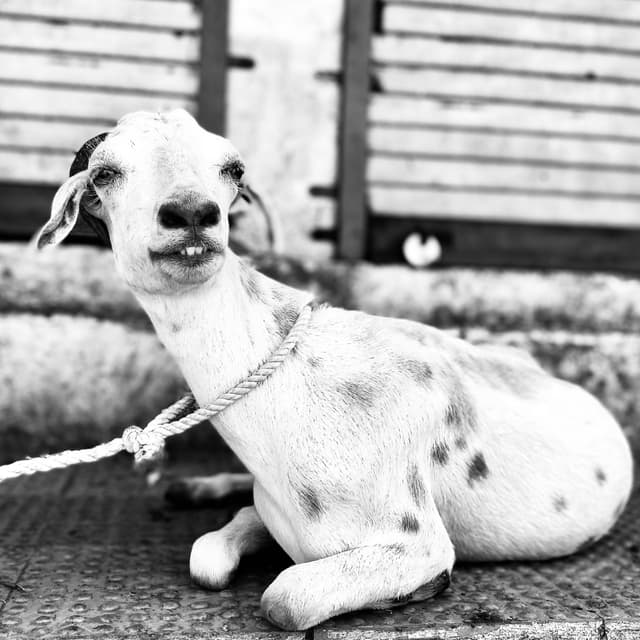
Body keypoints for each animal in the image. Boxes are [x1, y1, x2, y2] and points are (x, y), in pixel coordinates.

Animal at [36, 109, 634, 631]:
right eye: (106, 172)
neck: (290, 395)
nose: (191, 213)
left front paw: (421, 591)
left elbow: (284, 599)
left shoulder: (417, 541)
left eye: (233, 169)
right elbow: (208, 556)